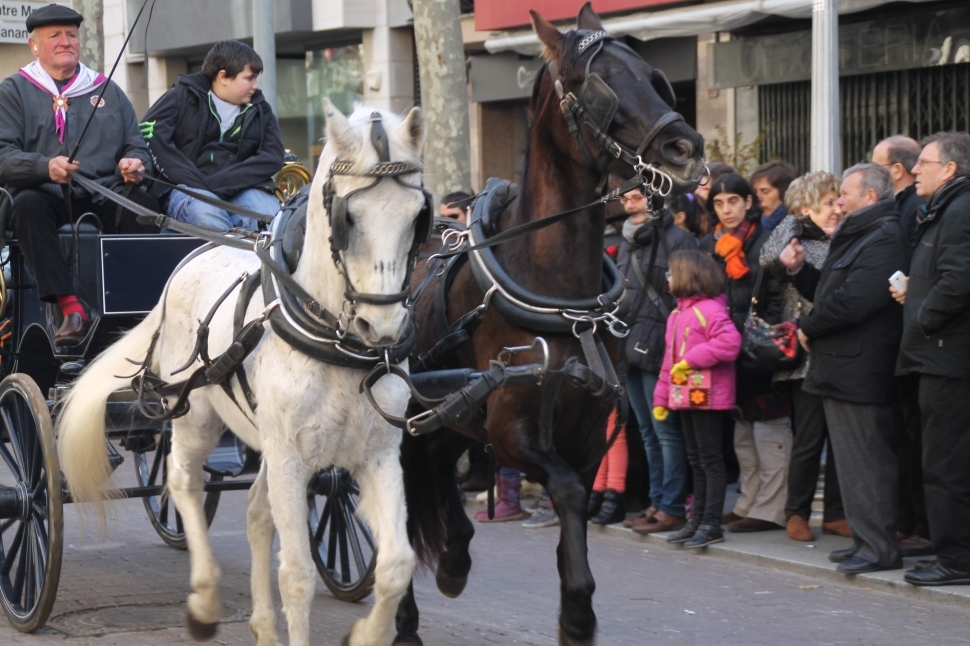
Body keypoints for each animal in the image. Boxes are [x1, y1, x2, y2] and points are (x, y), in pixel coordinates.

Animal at [56, 99, 432, 646]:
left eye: (417, 216)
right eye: (348, 215)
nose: (380, 326)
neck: (332, 339)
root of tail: (191, 256)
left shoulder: (377, 454)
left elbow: (396, 566)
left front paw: (367, 633)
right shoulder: (291, 456)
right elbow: (296, 575)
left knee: (254, 512)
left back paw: (262, 625)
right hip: (195, 418)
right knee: (184, 484)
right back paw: (205, 600)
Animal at [394, 5, 707, 645]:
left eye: (653, 76)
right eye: (598, 84)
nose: (687, 147)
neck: (565, 300)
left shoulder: (587, 437)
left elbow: (576, 514)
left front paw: (574, 611)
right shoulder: (512, 429)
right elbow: (562, 491)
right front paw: (579, 614)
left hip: (447, 411)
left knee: (435, 463)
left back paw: (456, 557)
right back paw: (406, 616)